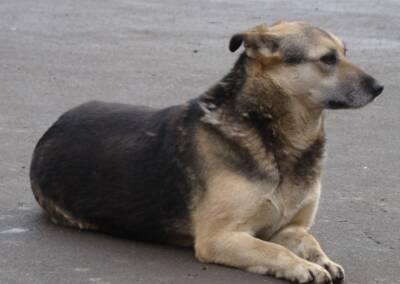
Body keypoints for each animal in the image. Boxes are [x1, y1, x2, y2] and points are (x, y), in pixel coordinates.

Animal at [30, 21, 382, 284]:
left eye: (344, 53)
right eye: (327, 59)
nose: (379, 88)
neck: (271, 134)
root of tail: (52, 128)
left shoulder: (289, 228)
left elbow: (309, 241)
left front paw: (322, 260)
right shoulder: (220, 238)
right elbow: (275, 252)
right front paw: (302, 266)